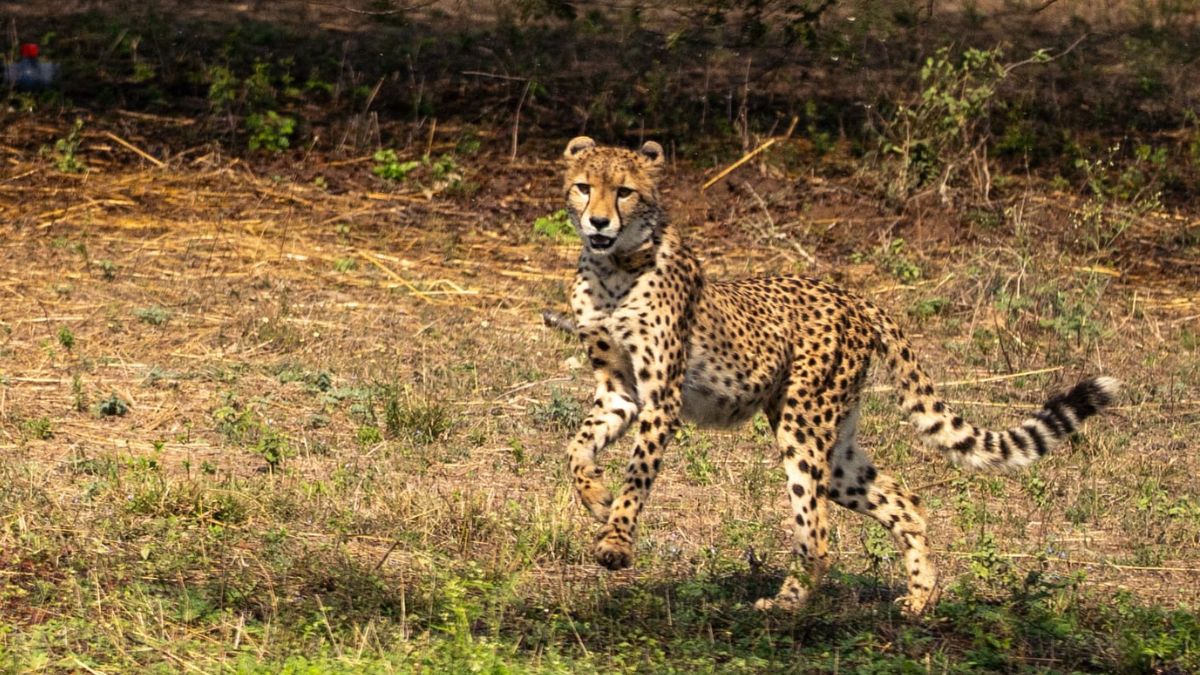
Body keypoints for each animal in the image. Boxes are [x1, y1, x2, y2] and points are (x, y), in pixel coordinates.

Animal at [557, 136, 1120, 616]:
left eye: (624, 191)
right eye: (584, 186)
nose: (599, 223)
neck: (613, 268)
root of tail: (857, 297)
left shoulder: (662, 399)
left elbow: (638, 476)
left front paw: (615, 542)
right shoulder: (620, 391)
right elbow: (575, 449)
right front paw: (595, 496)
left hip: (803, 426)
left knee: (818, 534)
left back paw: (787, 605)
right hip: (836, 444)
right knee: (904, 500)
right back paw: (920, 598)